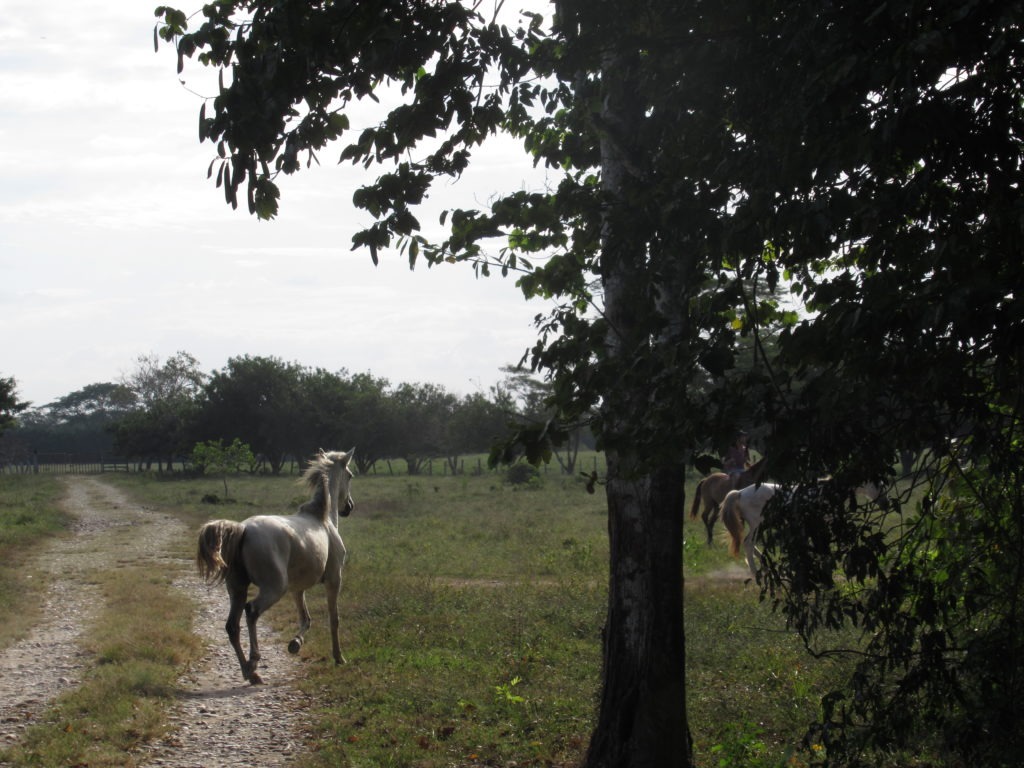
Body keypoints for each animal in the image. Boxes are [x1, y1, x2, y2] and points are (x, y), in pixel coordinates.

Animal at [196, 448, 355, 684]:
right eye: (350, 476)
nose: (349, 507)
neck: (323, 519)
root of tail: (243, 529)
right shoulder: (334, 579)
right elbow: (333, 618)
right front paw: (339, 657)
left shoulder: (298, 588)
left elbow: (305, 619)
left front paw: (295, 644)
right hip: (274, 588)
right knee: (251, 611)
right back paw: (253, 663)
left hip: (237, 588)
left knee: (232, 625)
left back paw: (250, 673)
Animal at [721, 479, 884, 577]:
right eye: (877, 484)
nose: (886, 502)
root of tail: (740, 493)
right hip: (758, 524)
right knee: (748, 543)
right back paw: (756, 573)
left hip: (761, 525)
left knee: (750, 545)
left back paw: (768, 567)